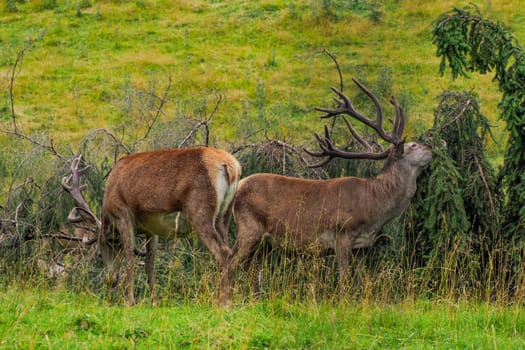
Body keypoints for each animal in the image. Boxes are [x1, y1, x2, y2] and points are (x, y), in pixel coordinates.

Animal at [227, 80, 432, 298]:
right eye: (413, 145)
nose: (431, 147)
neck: (373, 206)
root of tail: (238, 186)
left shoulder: (362, 246)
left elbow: (361, 279)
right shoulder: (341, 233)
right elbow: (343, 279)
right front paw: (342, 301)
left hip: (264, 242)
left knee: (251, 270)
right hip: (249, 227)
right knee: (229, 263)